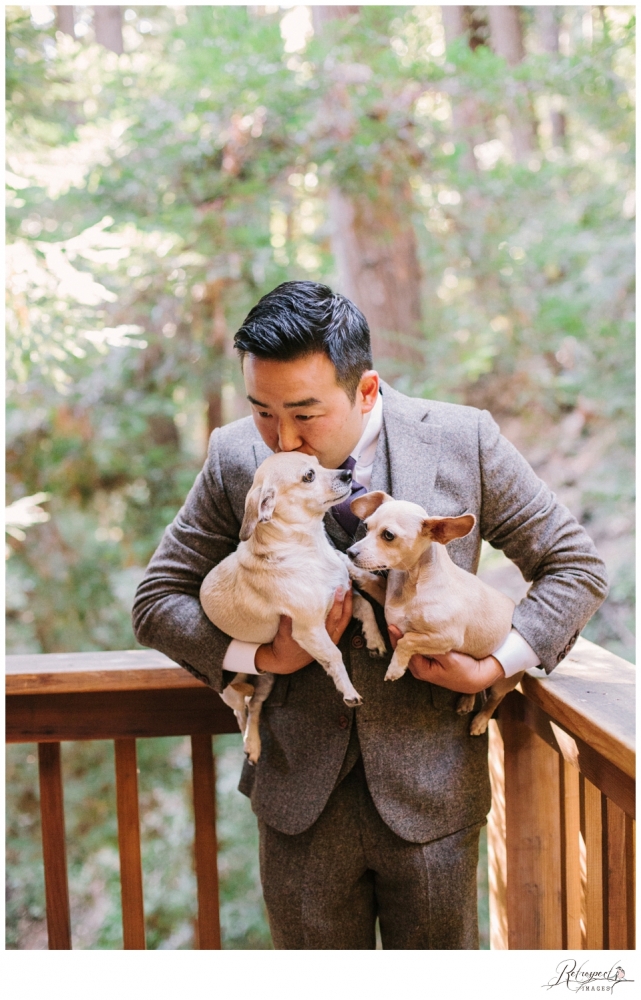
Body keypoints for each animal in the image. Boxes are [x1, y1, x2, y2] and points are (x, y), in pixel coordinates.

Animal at [200, 450, 384, 760]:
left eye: (321, 462)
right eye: (309, 476)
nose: (348, 475)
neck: (311, 549)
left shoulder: (347, 596)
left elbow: (368, 609)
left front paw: (375, 640)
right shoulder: (310, 630)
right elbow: (334, 656)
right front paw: (348, 691)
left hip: (267, 681)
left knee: (255, 706)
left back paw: (254, 743)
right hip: (230, 692)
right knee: (241, 713)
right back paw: (249, 743)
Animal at [348, 492, 524, 736]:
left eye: (388, 535)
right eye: (366, 527)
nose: (350, 552)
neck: (410, 584)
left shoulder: (444, 638)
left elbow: (407, 640)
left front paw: (395, 668)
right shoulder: (386, 600)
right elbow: (371, 581)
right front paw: (349, 568)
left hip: (503, 683)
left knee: (493, 699)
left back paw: (480, 720)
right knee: (474, 687)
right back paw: (466, 701)